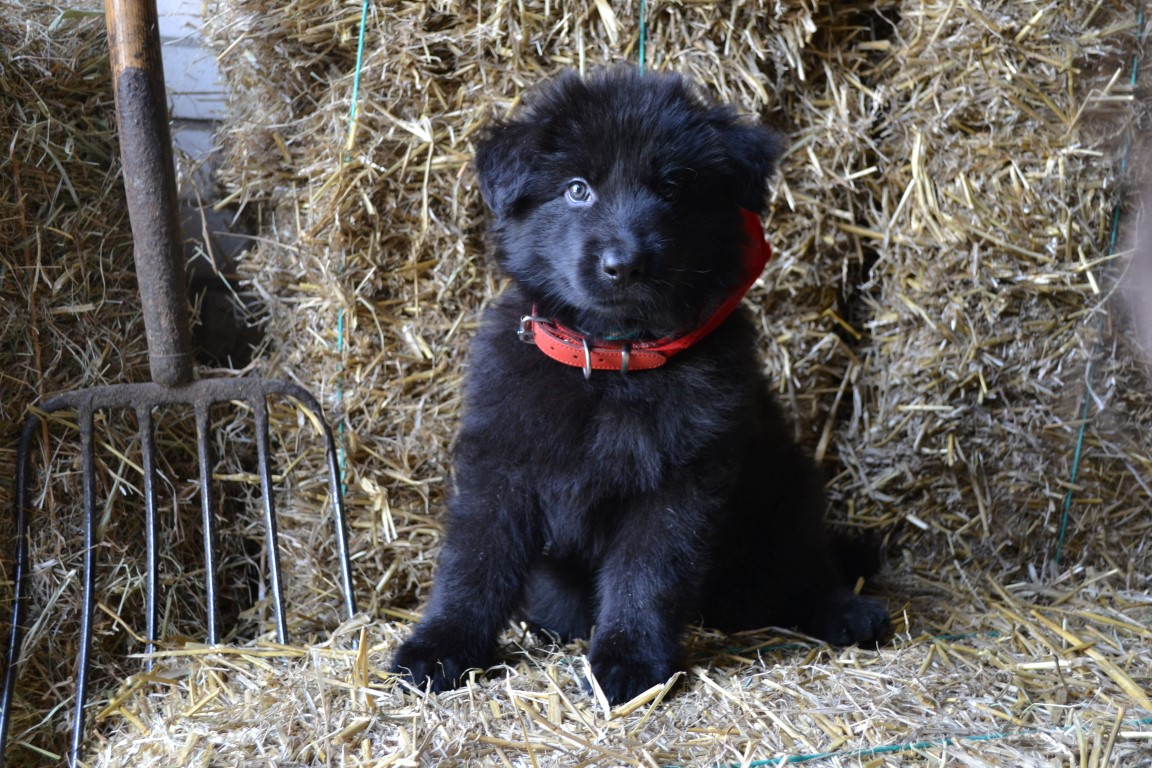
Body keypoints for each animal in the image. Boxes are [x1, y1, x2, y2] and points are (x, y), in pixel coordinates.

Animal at [391, 67, 890, 705]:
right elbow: (473, 562)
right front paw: (441, 647)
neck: (609, 363)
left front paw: (629, 662)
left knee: (804, 568)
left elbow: (646, 576)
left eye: (673, 189)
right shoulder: (500, 464)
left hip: (787, 492)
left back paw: (847, 611)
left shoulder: (679, 483)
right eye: (577, 189)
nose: (624, 264)